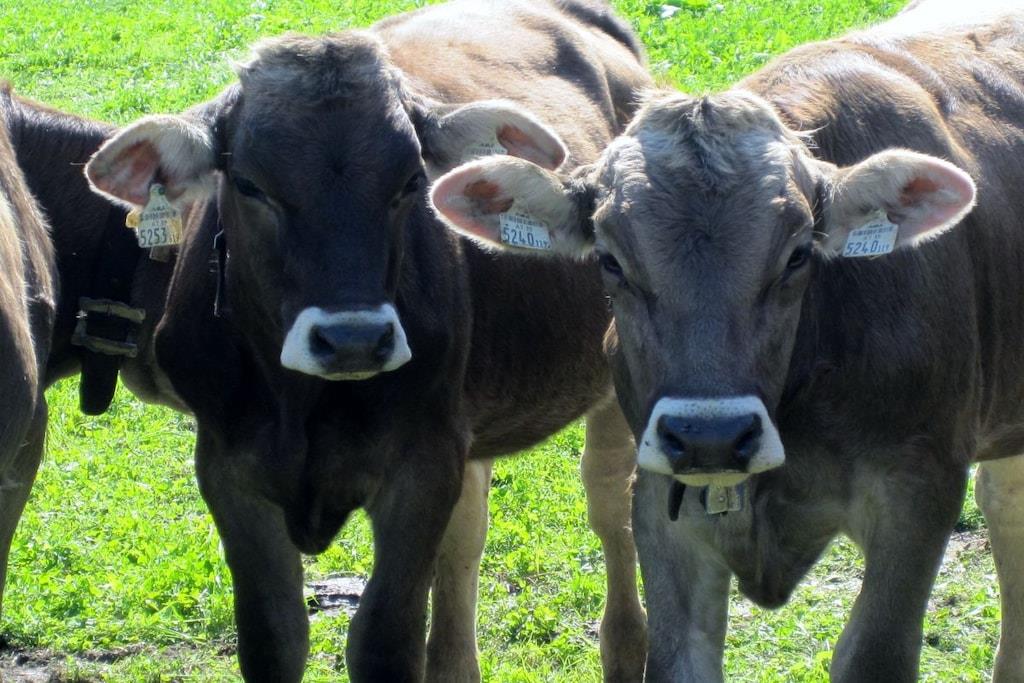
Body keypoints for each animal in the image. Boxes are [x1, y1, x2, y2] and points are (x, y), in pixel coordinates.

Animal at [83, 1, 653, 680]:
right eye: (249, 184)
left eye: (409, 181)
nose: (353, 339)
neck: (301, 405)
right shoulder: (228, 468)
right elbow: (273, 636)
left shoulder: (421, 466)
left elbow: (385, 639)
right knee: (468, 537)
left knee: (612, 510)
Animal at [429, 0, 1024, 680]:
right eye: (609, 259)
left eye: (798, 255)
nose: (708, 436)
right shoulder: (661, 504)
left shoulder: (919, 490)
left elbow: (872, 653)